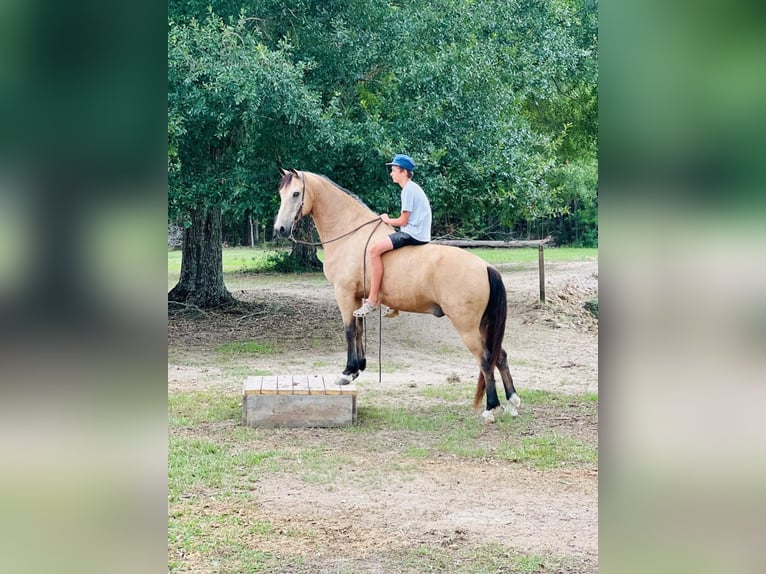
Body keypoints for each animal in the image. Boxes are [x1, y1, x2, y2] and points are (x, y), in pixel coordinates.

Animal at [272, 169, 520, 420]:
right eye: (281, 193)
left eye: (296, 194)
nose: (279, 229)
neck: (350, 235)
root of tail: (485, 267)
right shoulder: (357, 297)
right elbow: (359, 330)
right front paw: (358, 367)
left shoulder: (344, 293)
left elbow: (349, 331)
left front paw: (347, 372)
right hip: (483, 325)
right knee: (499, 356)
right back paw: (512, 402)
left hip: (467, 327)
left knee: (485, 360)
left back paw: (490, 407)